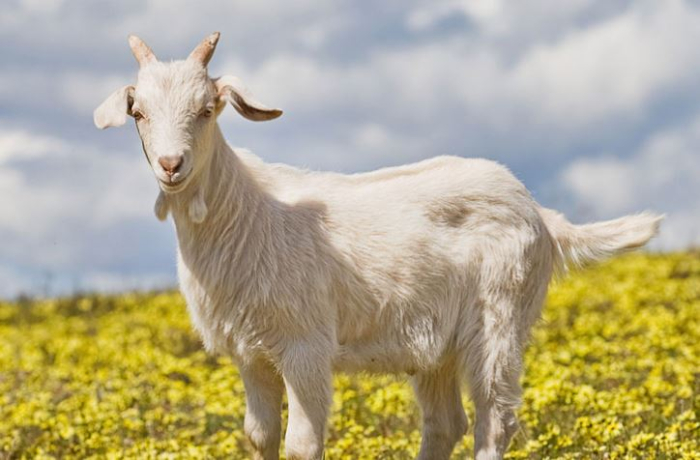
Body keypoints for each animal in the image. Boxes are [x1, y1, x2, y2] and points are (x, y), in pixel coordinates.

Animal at [94, 32, 662, 460]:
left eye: (208, 109)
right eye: (139, 113)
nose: (171, 166)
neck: (247, 213)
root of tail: (541, 214)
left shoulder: (305, 345)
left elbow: (302, 443)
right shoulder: (250, 355)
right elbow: (259, 438)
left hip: (501, 316)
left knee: (495, 417)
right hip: (437, 345)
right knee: (445, 423)